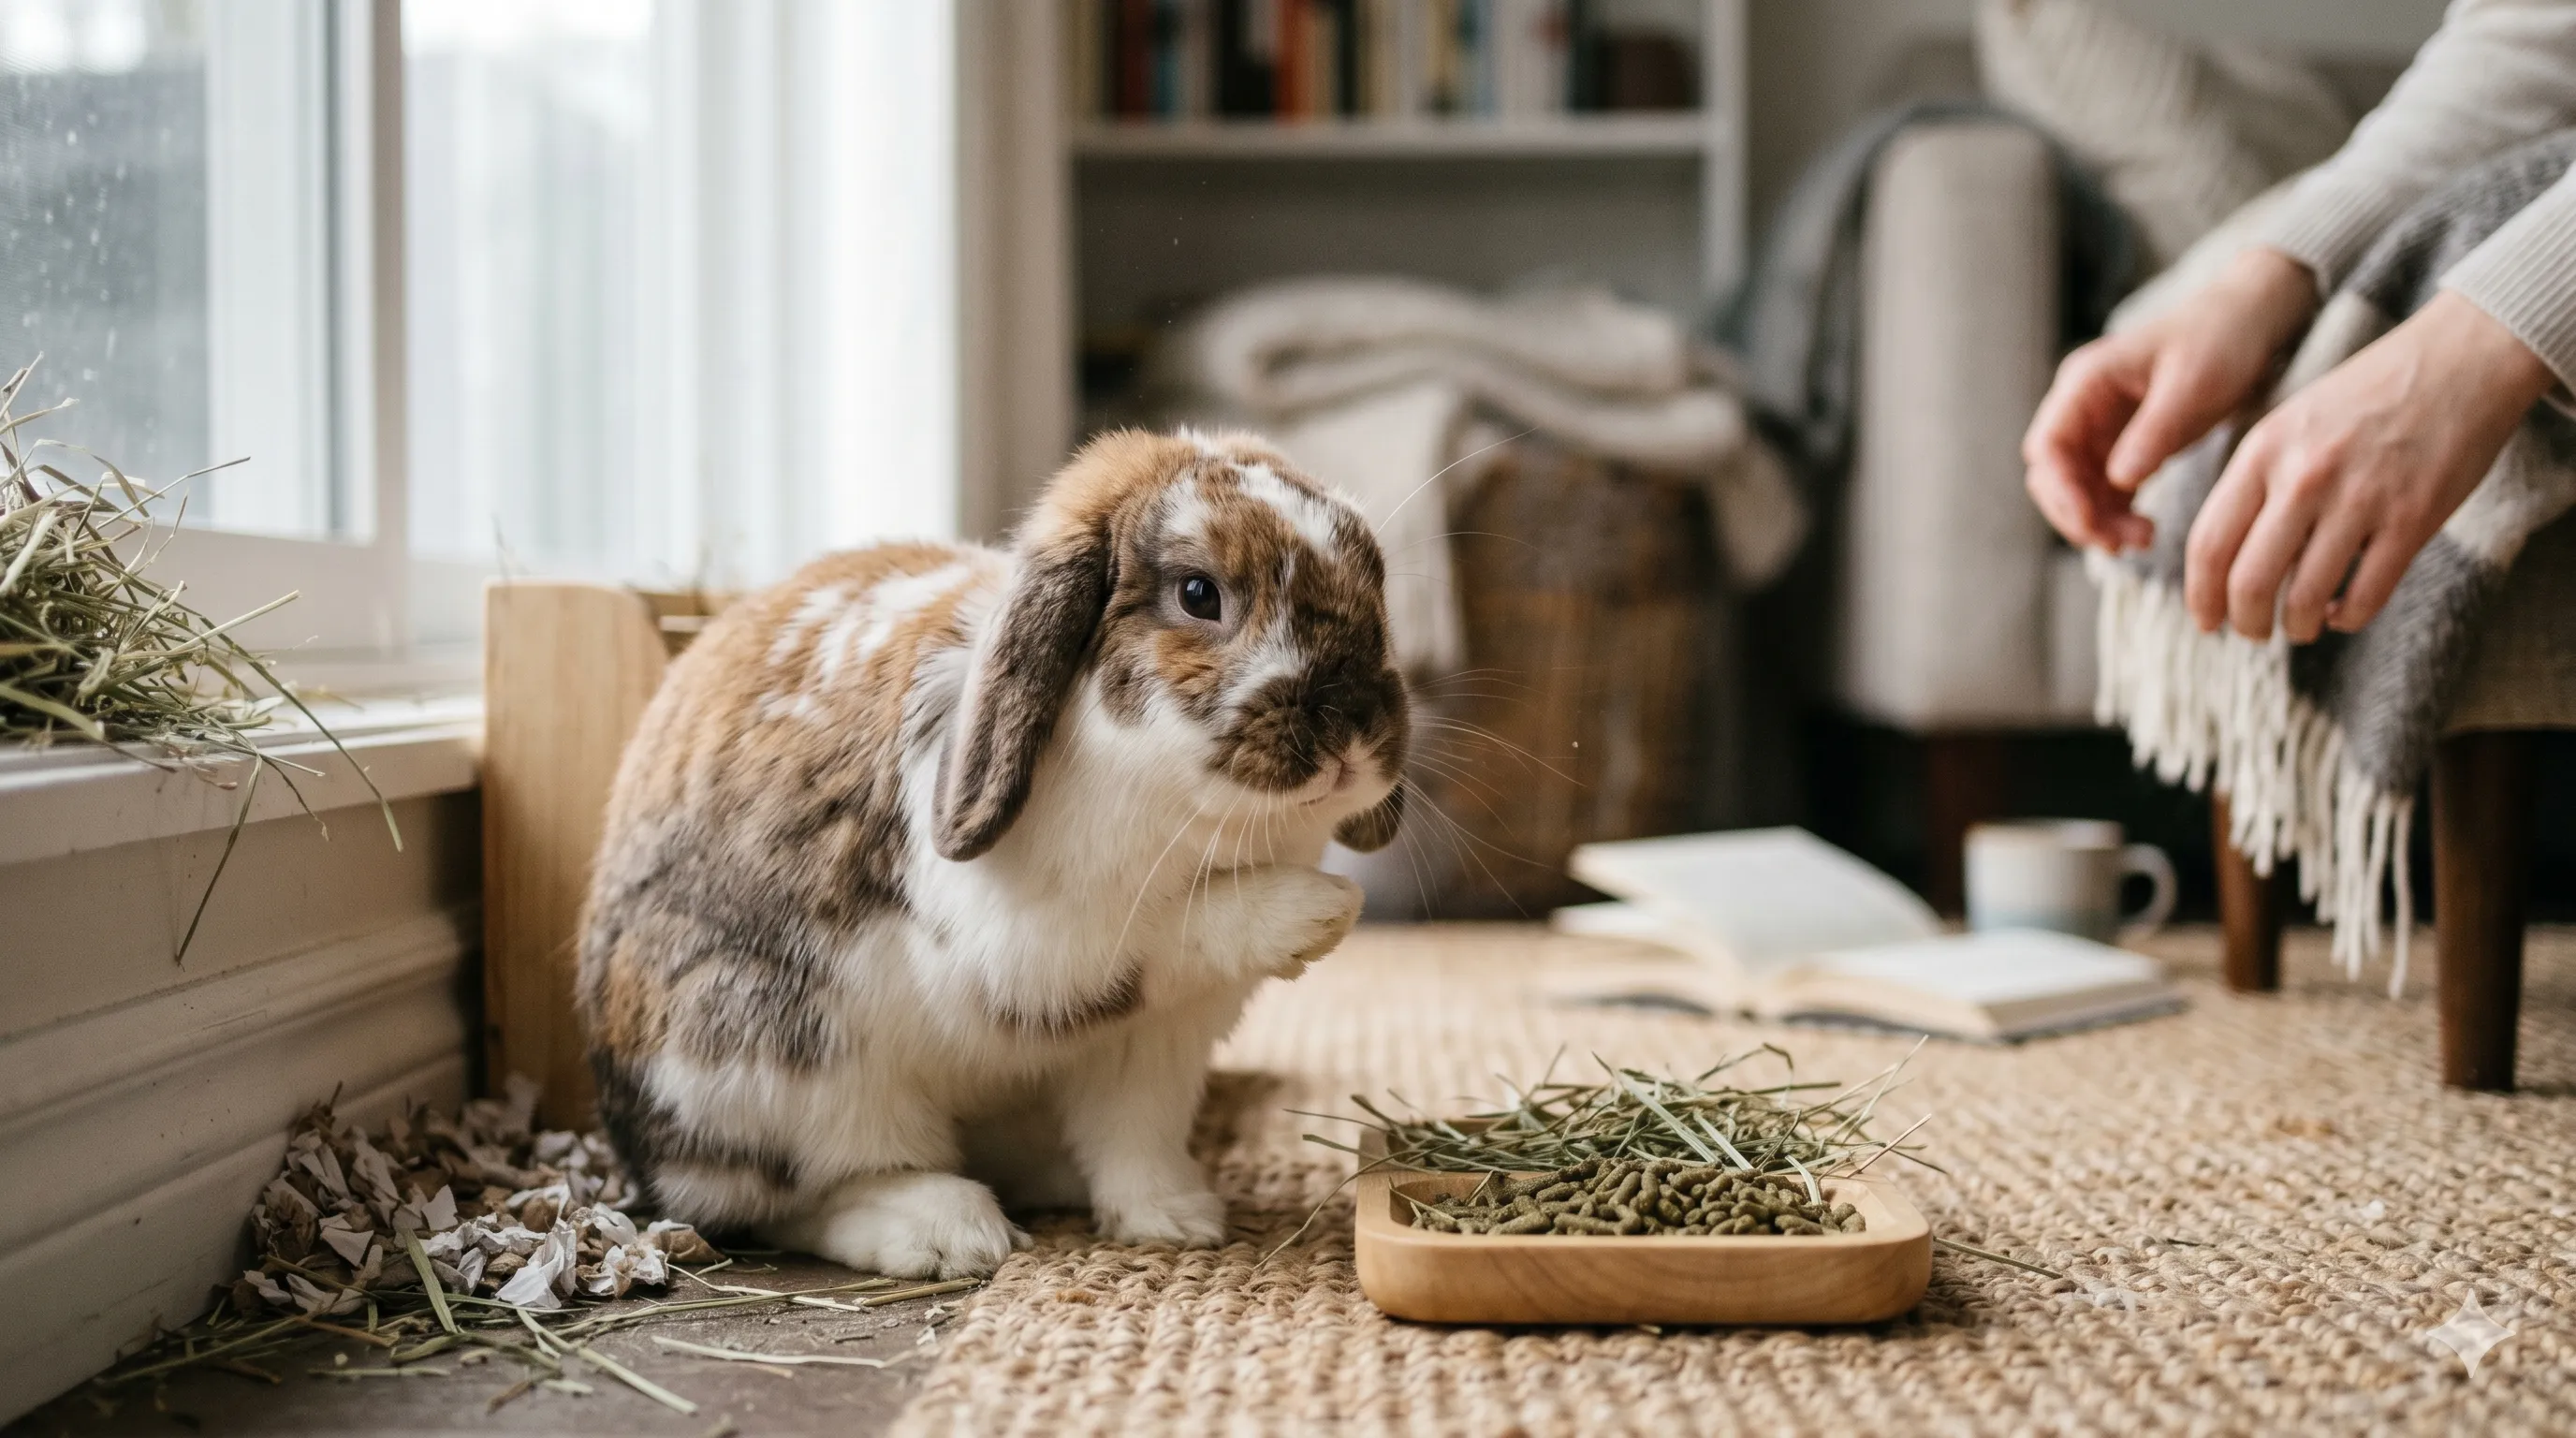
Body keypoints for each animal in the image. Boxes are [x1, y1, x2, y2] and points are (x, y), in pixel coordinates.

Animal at [577, 428, 1409, 1280]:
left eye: (1373, 583)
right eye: (1199, 594)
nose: (1351, 723)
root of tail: (638, 1144)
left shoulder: (1155, 1043)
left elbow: (1136, 1140)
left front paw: (1177, 1222)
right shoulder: (1040, 943)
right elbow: (1176, 925)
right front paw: (1323, 910)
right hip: (775, 1058)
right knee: (795, 1195)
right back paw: (948, 1230)